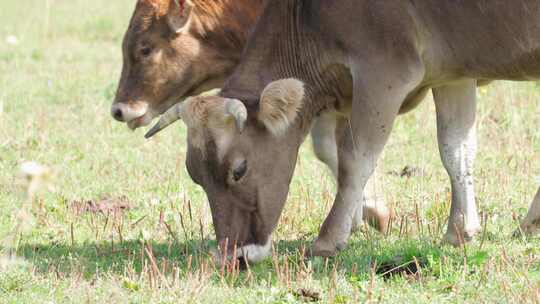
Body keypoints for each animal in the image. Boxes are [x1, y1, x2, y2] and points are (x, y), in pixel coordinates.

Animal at [146, 0, 540, 262]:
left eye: (239, 170)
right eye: (195, 175)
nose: (234, 256)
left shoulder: (384, 71)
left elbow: (356, 159)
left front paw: (328, 239)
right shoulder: (451, 75)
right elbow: (456, 152)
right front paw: (460, 229)